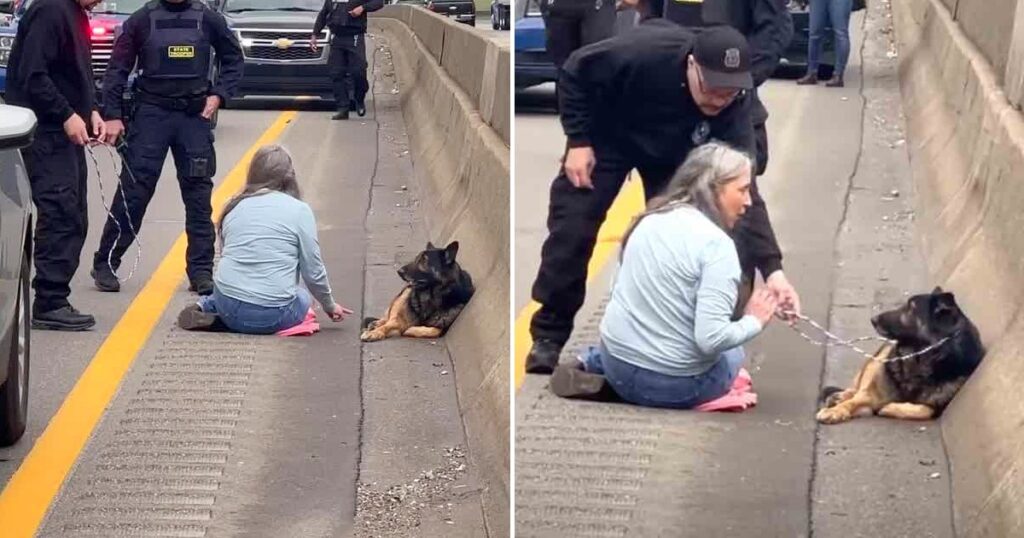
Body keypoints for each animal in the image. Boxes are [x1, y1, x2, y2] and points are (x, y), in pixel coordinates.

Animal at [815, 284, 983, 424]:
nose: (873, 319)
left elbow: (924, 410)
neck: (918, 359)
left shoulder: (935, 407)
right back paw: (839, 397)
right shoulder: (872, 393)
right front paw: (836, 410)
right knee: (857, 388)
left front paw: (891, 408)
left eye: (910, 308)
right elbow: (856, 399)